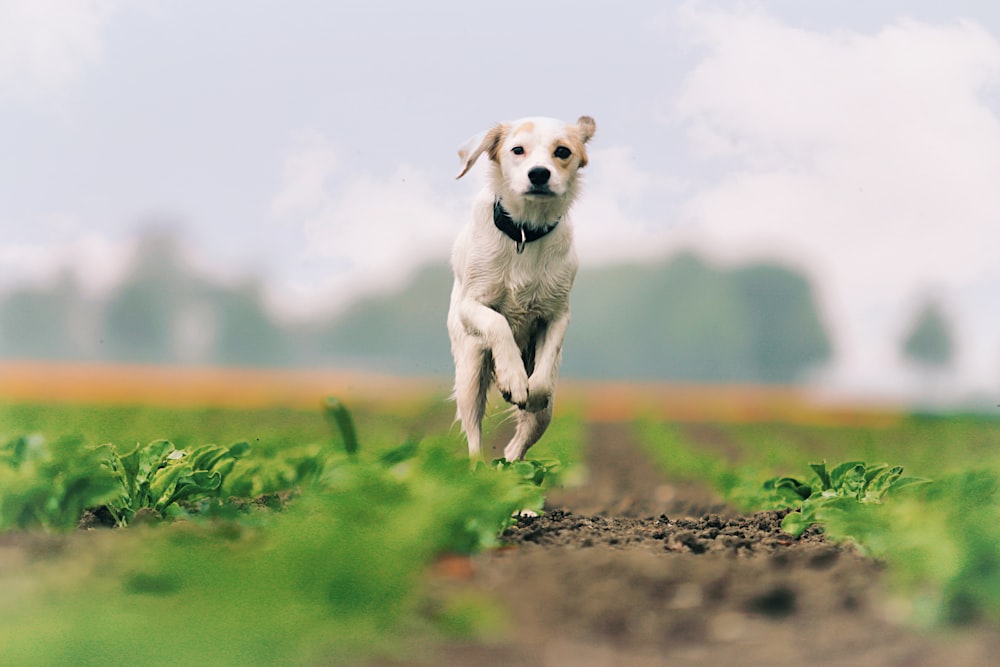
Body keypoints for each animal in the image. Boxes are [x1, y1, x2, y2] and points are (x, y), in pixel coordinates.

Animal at [446, 113, 592, 460]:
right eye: (517, 150)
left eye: (562, 151)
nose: (539, 173)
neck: (525, 232)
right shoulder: (472, 305)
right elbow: (497, 322)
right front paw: (512, 377)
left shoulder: (558, 315)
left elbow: (542, 375)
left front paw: (529, 389)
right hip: (471, 374)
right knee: (474, 440)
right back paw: (481, 471)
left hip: (546, 414)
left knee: (517, 447)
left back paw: (513, 469)